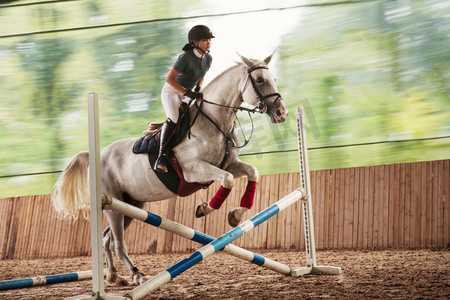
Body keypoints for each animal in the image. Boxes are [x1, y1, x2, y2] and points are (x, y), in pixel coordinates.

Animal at [50, 53, 288, 286]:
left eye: (274, 79)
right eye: (260, 80)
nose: (281, 113)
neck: (215, 122)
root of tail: (96, 156)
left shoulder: (228, 165)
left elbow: (252, 172)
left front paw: (236, 215)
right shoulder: (195, 171)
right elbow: (228, 180)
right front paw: (205, 209)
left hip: (131, 204)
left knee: (107, 238)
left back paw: (113, 275)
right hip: (113, 205)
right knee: (117, 243)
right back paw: (135, 274)